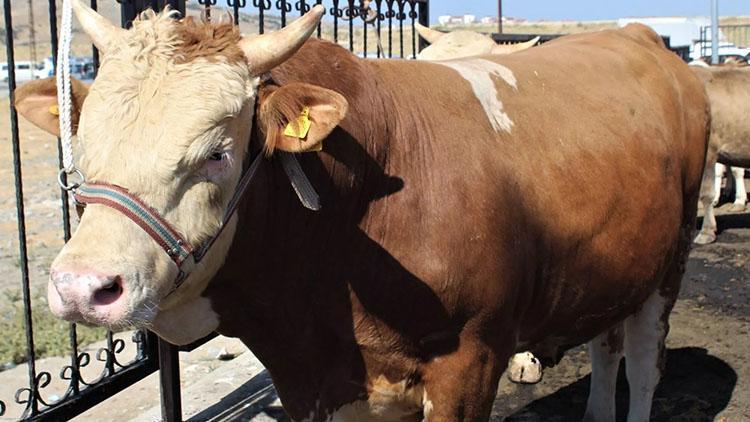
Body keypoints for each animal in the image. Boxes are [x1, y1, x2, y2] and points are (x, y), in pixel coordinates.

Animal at [16, 1, 712, 420]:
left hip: (669, 262)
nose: (82, 288)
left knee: (643, 363)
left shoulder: (469, 362)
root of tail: (639, 37)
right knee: (607, 346)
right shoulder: (316, 380)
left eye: (217, 152)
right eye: (82, 144)